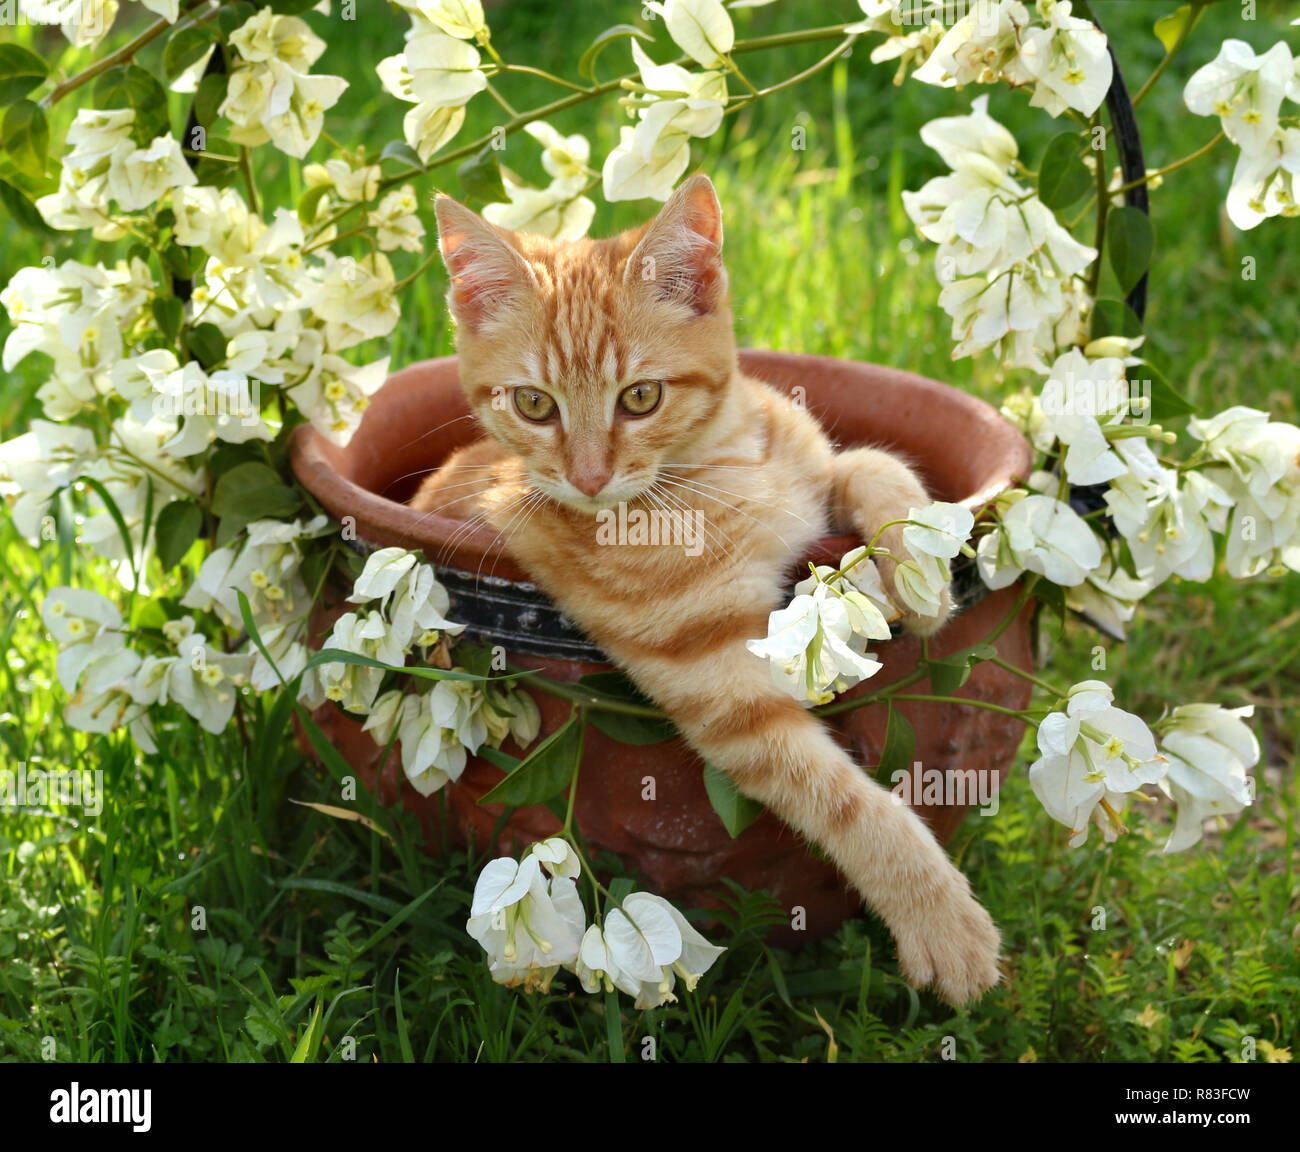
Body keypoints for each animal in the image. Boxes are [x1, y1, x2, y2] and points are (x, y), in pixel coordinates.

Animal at [410, 175, 998, 1003]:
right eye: (533, 405)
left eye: (641, 397)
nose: (587, 479)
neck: (718, 466)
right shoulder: (717, 677)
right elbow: (842, 799)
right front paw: (939, 916)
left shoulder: (813, 474)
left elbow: (873, 466)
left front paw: (919, 575)